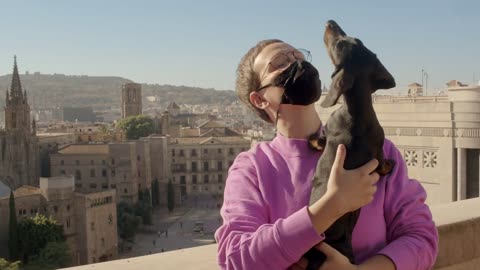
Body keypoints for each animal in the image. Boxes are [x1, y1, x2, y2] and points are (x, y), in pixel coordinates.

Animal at [304, 20, 398, 268]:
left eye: (339, 44)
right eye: (354, 40)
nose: (330, 21)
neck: (358, 112)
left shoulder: (328, 131)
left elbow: (319, 139)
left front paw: (311, 140)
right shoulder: (378, 153)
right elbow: (383, 163)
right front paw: (390, 165)